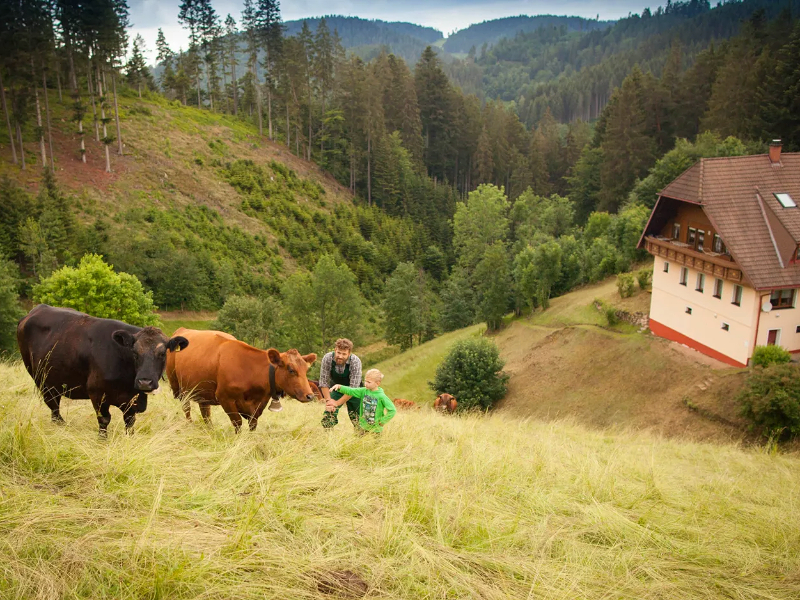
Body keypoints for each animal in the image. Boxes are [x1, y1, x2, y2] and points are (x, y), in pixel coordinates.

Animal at [18, 304, 190, 436]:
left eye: (162, 353)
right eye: (134, 353)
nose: (145, 382)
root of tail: (37, 309)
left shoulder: (131, 401)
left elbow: (130, 422)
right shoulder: (97, 393)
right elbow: (104, 420)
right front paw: (102, 440)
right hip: (41, 380)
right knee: (53, 405)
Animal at [166, 328, 316, 432]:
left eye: (306, 369)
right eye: (291, 370)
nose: (310, 396)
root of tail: (182, 330)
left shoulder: (259, 404)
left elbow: (253, 424)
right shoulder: (225, 398)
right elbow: (237, 423)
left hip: (203, 391)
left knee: (205, 412)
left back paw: (210, 430)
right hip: (179, 388)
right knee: (186, 408)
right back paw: (189, 425)